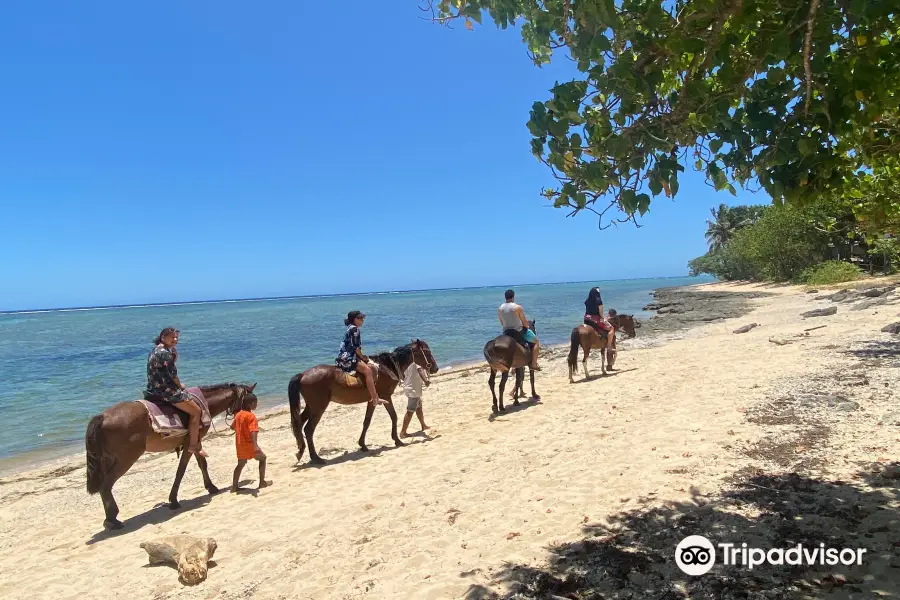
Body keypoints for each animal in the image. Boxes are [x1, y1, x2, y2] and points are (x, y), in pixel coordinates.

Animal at [85, 382, 256, 528]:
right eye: (249, 401)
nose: (247, 417)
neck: (203, 403)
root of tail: (103, 417)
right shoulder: (190, 444)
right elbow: (181, 470)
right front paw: (174, 500)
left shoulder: (196, 442)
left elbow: (202, 464)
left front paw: (211, 487)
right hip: (126, 459)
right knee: (106, 486)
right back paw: (112, 520)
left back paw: (110, 519)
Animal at [286, 342, 438, 464]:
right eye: (427, 351)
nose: (435, 368)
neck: (386, 366)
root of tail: (303, 375)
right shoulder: (386, 397)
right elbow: (394, 416)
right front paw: (397, 440)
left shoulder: (372, 400)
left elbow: (367, 421)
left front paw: (363, 445)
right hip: (318, 407)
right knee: (308, 429)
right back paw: (315, 458)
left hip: (311, 407)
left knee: (299, 424)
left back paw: (301, 451)